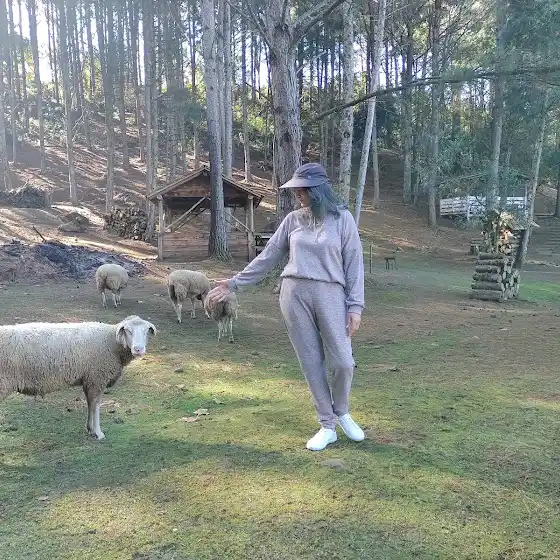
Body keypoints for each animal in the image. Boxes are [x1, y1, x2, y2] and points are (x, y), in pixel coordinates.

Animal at [0, 315, 156, 440]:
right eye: (128, 330)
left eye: (146, 331)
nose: (138, 349)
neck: (110, 341)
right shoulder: (97, 378)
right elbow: (96, 406)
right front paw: (98, 433)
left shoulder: (89, 380)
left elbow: (90, 404)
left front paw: (90, 428)